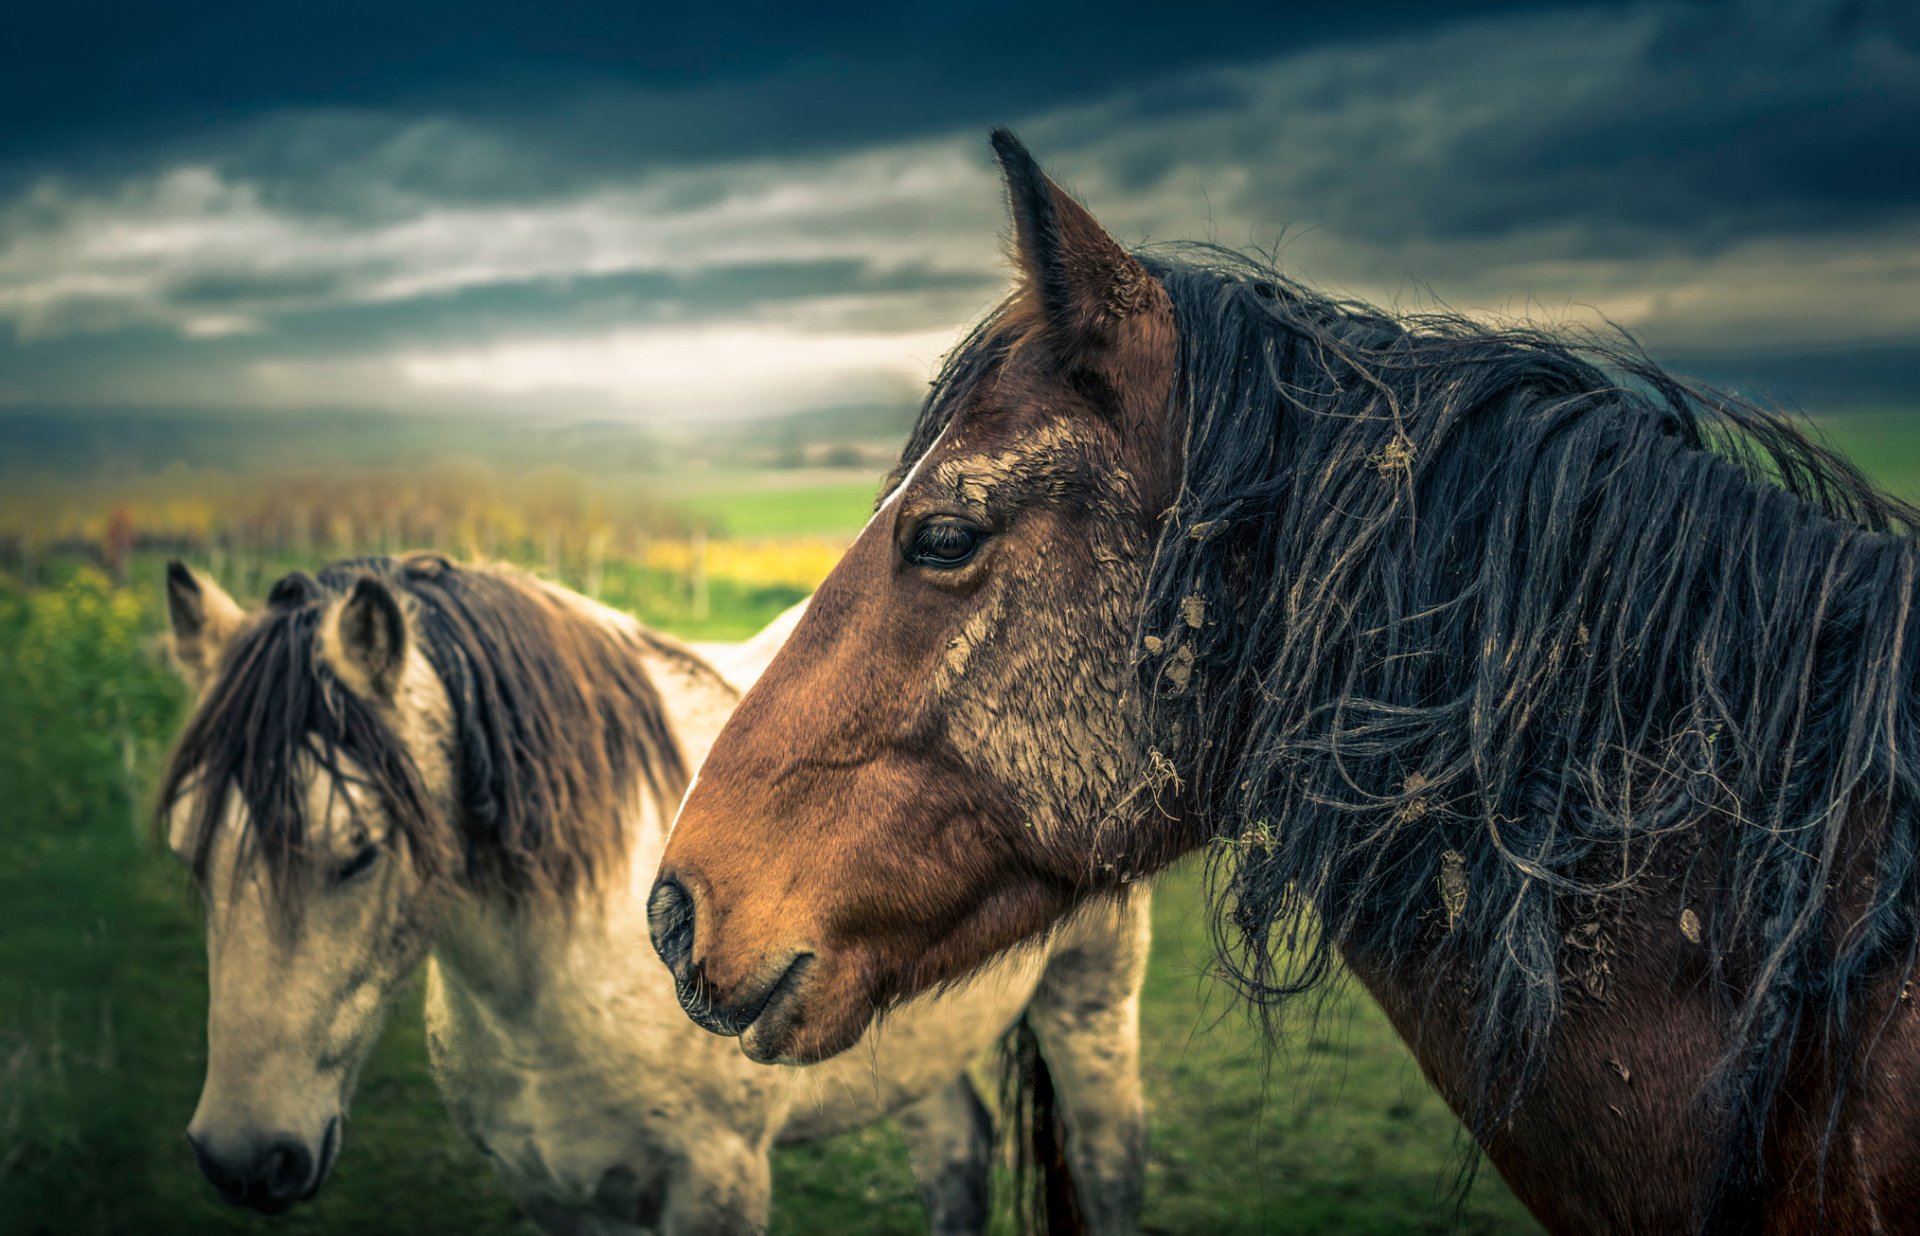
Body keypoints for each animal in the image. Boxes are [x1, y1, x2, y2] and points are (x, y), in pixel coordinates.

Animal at [157, 556, 1144, 1236]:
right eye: (186, 852)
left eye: (358, 853)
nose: (241, 1159)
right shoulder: (552, 1194)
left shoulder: (715, 1188)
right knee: (956, 1159)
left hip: (1092, 1009)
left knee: (1107, 1164)